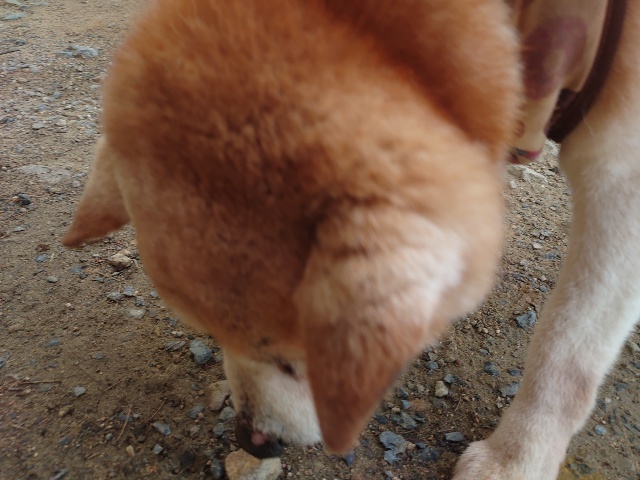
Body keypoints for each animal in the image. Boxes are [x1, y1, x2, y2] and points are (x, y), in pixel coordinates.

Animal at [62, 1, 640, 478]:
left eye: (294, 360)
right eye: (209, 335)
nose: (251, 443)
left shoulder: (621, 178)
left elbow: (566, 350)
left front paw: (516, 459)